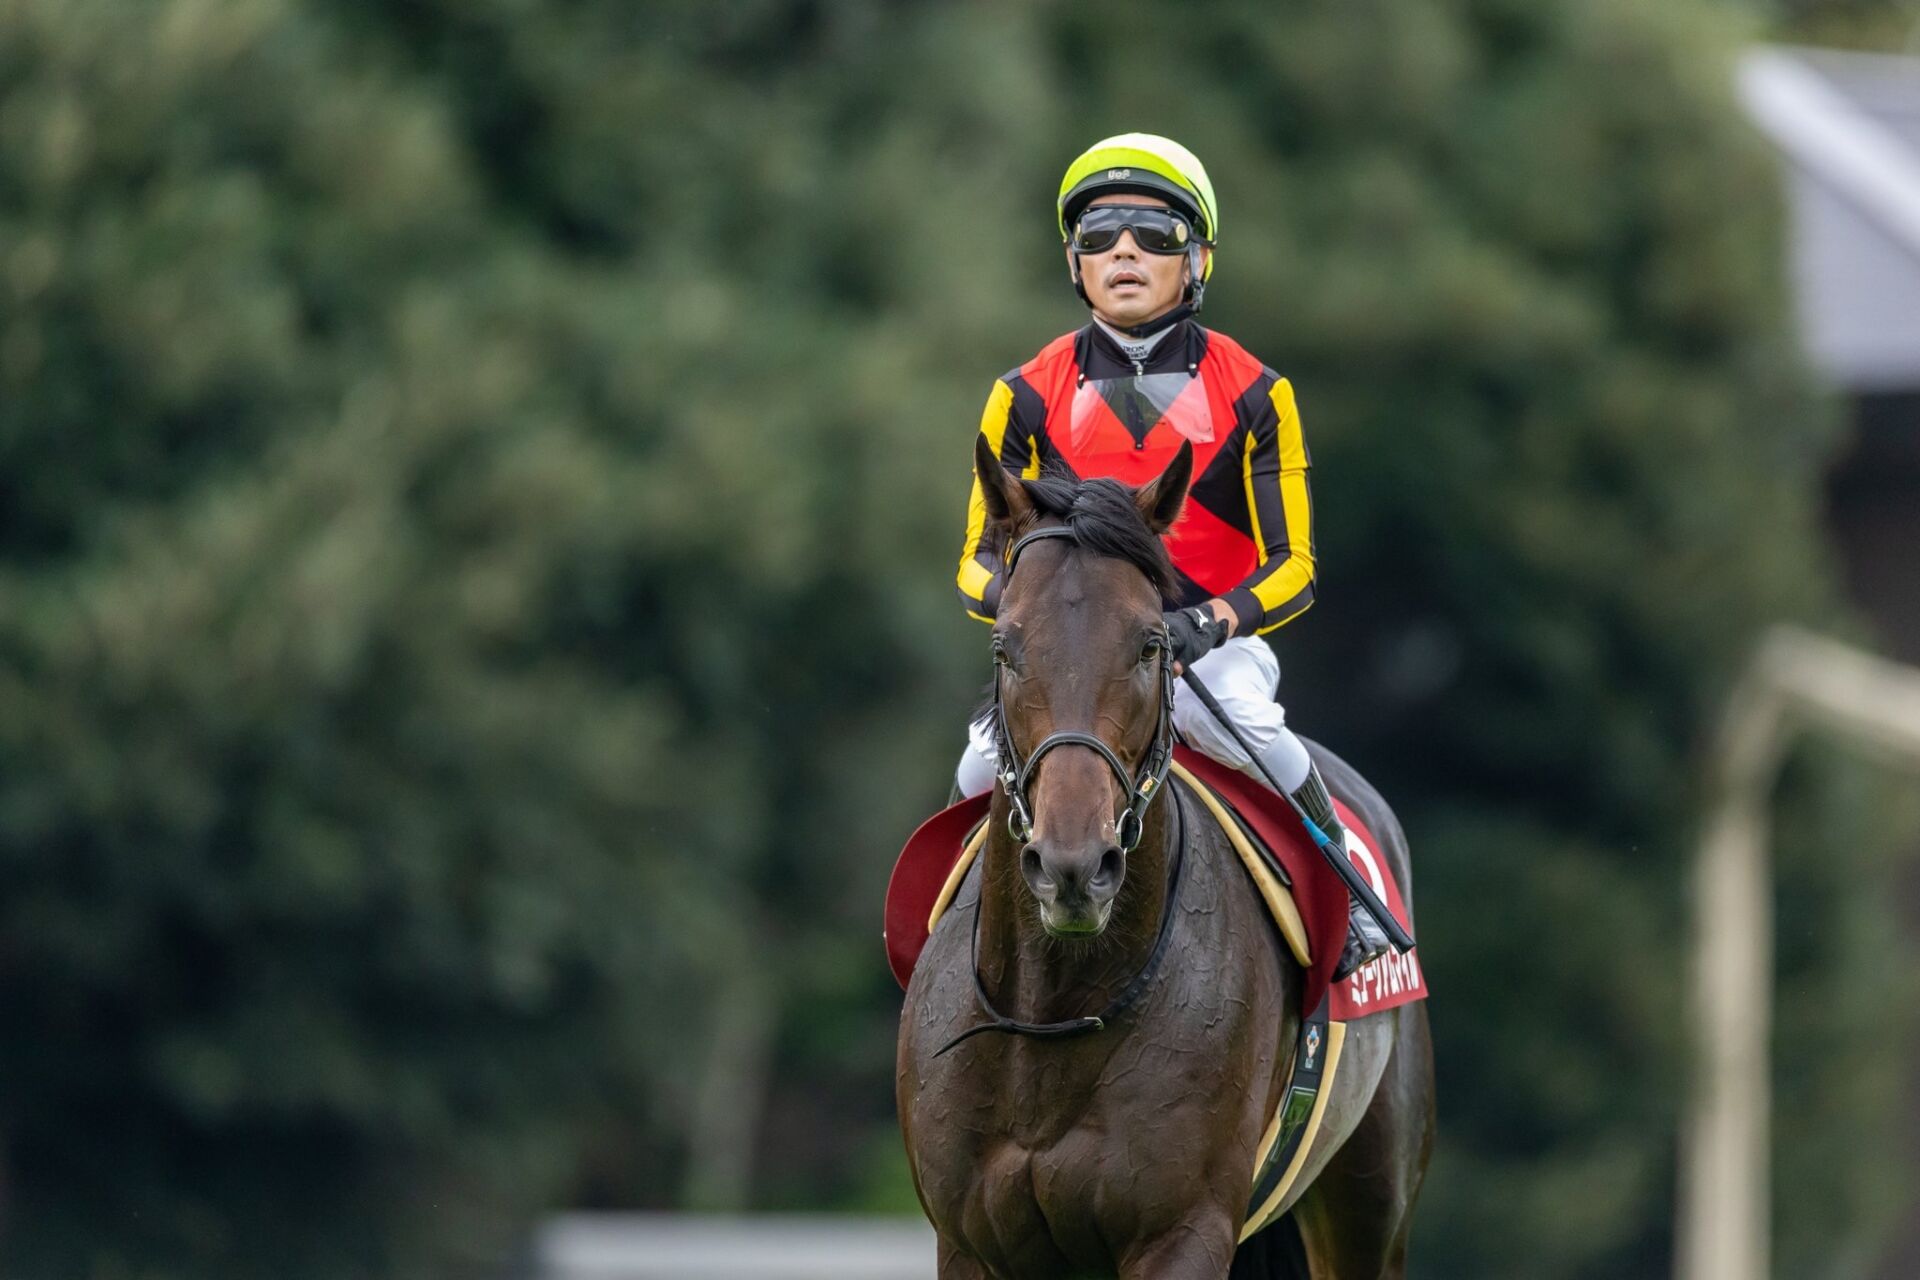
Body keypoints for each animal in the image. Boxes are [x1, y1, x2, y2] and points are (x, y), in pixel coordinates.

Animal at [896, 437, 1434, 1279]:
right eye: (1004, 646)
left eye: (1152, 643)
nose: (1074, 866)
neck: (1056, 1011)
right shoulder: (970, 1243)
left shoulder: (1182, 1231)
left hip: (1368, 1206)